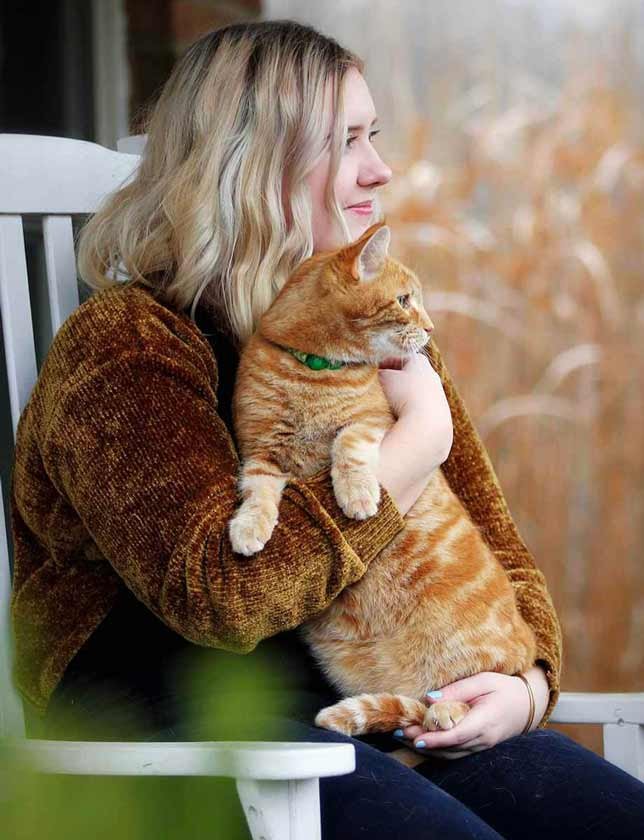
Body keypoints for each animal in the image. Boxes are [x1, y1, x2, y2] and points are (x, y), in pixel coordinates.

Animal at [229, 220, 536, 744]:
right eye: (404, 299)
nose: (431, 329)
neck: (313, 372)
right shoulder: (261, 452)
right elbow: (259, 493)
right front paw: (250, 528)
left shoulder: (374, 420)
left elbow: (347, 444)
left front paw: (356, 496)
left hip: (476, 668)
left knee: (462, 693)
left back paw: (445, 711)